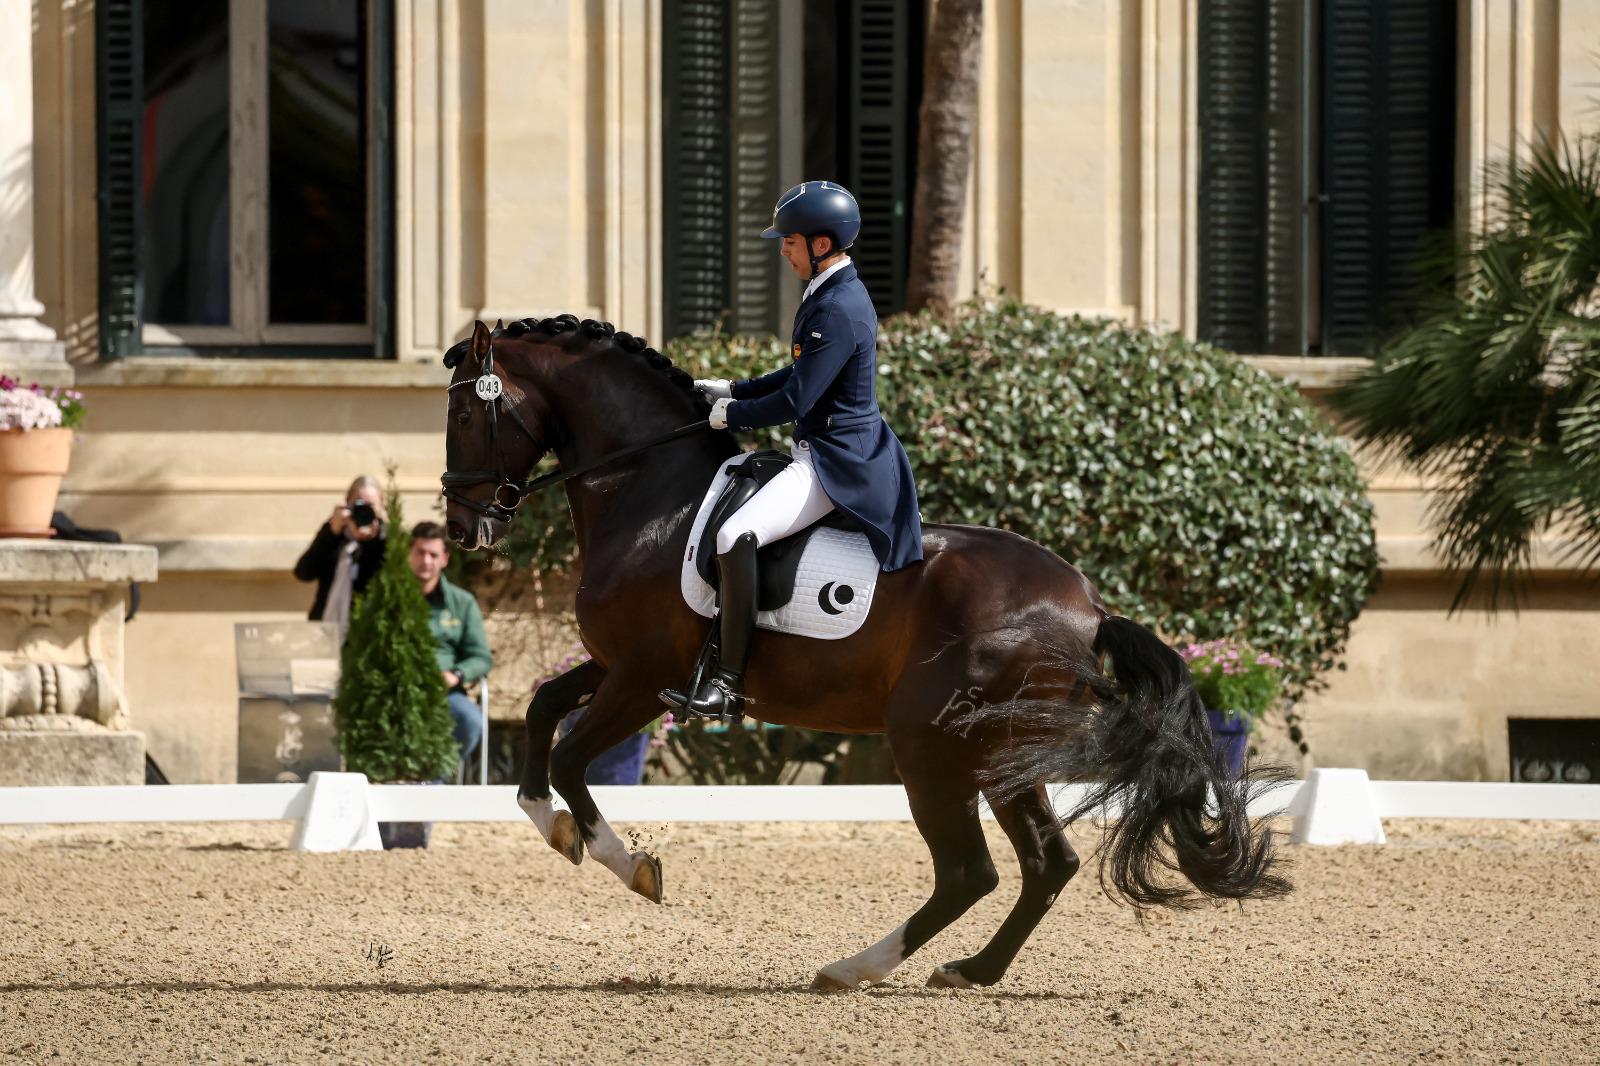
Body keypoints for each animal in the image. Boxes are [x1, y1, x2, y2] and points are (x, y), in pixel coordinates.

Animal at [438, 313, 1286, 985]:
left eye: (465, 412)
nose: (461, 530)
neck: (652, 494)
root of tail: (1090, 607)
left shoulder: (646, 678)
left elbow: (569, 758)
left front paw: (631, 866)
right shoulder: (621, 666)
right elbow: (542, 710)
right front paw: (549, 824)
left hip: (931, 745)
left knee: (971, 872)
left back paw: (854, 969)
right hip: (1000, 755)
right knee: (1048, 864)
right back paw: (971, 972)